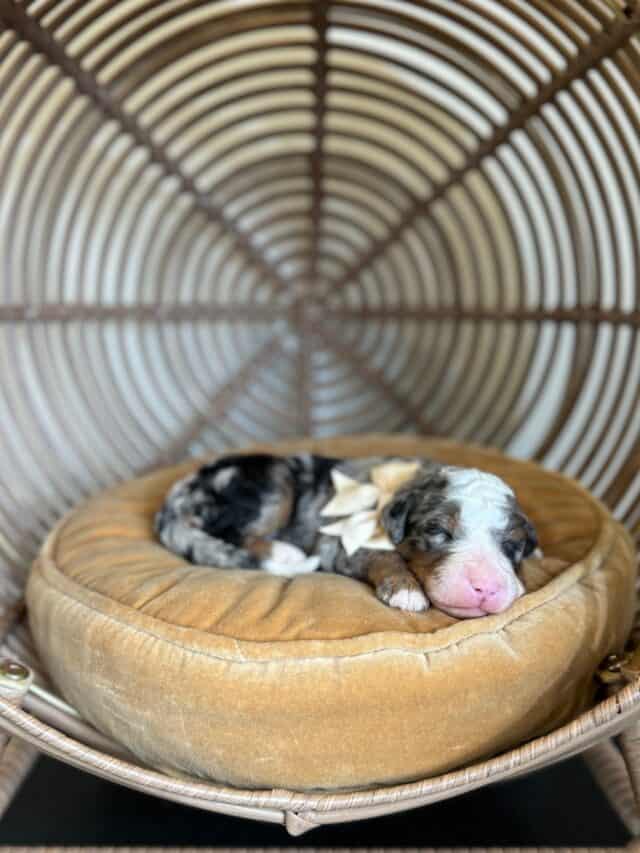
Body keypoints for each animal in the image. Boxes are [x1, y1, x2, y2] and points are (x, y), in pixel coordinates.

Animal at [155, 452, 540, 620]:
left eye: (513, 545)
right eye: (437, 531)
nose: (486, 587)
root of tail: (176, 496)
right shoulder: (345, 541)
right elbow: (387, 555)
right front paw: (407, 592)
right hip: (270, 484)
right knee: (232, 532)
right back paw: (285, 553)